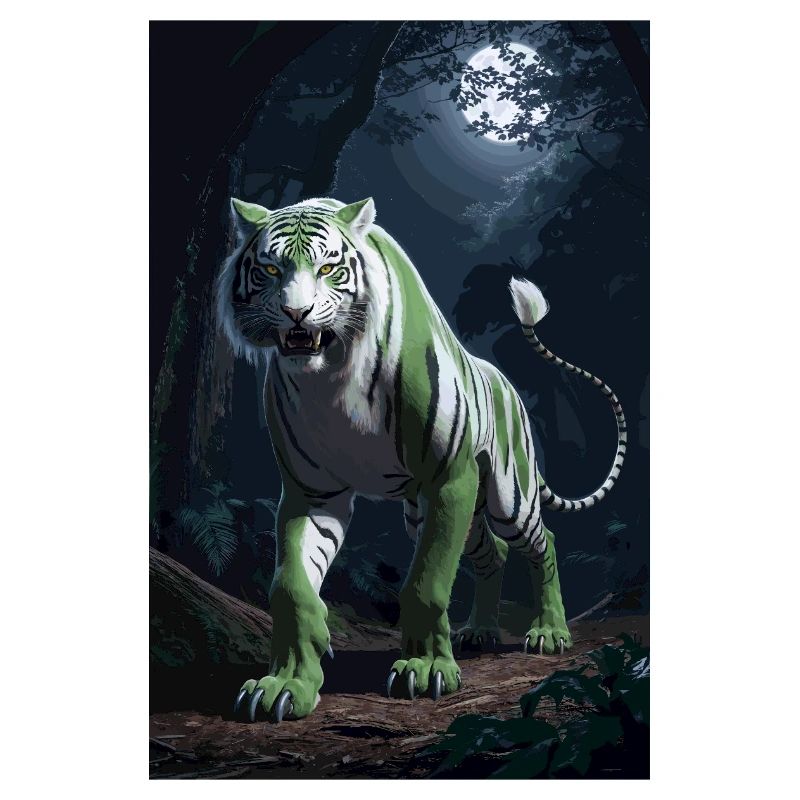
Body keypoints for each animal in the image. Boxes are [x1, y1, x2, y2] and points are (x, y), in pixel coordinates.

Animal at [218, 196, 626, 723]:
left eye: (328, 268)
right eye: (270, 268)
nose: (296, 313)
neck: (329, 376)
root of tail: (508, 384)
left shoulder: (450, 479)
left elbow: (426, 582)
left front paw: (426, 668)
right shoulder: (312, 493)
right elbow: (290, 586)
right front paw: (285, 684)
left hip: (505, 497)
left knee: (545, 542)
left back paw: (550, 633)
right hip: (443, 515)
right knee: (493, 553)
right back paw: (480, 631)